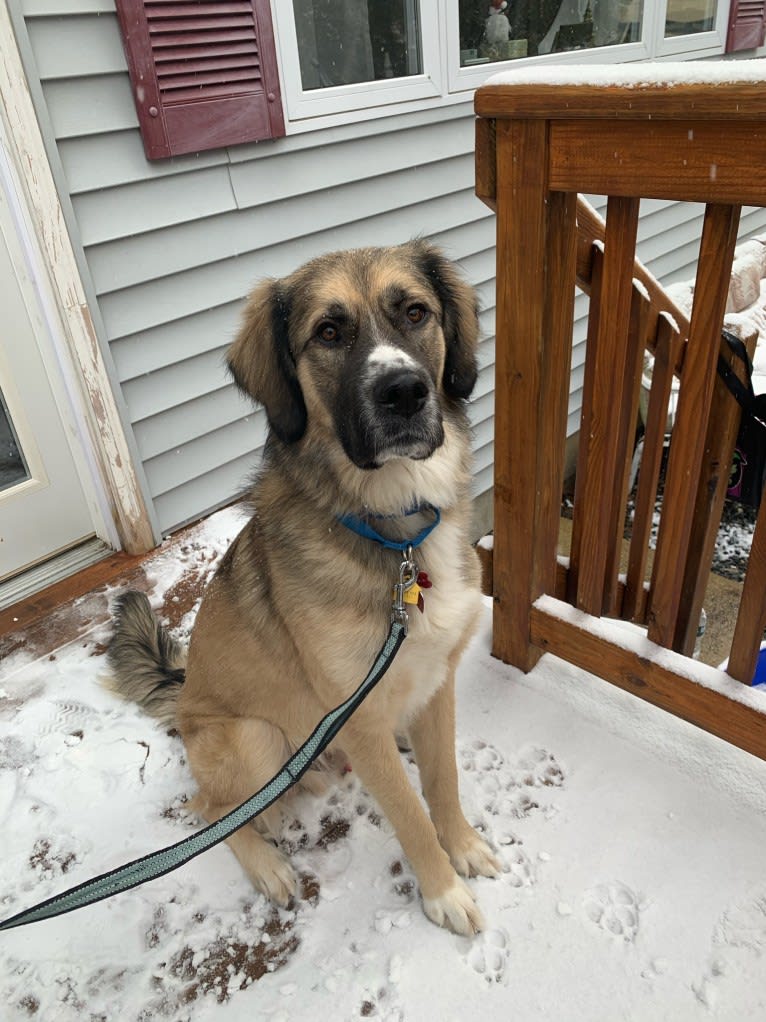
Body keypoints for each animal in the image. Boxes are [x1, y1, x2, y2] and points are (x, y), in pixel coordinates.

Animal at [109, 239, 504, 936]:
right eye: (328, 332)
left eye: (415, 312)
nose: (404, 392)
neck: (398, 543)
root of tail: (183, 699)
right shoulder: (357, 713)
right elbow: (409, 813)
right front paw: (443, 893)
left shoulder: (438, 680)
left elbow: (444, 781)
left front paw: (463, 846)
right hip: (254, 739)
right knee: (211, 810)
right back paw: (267, 865)